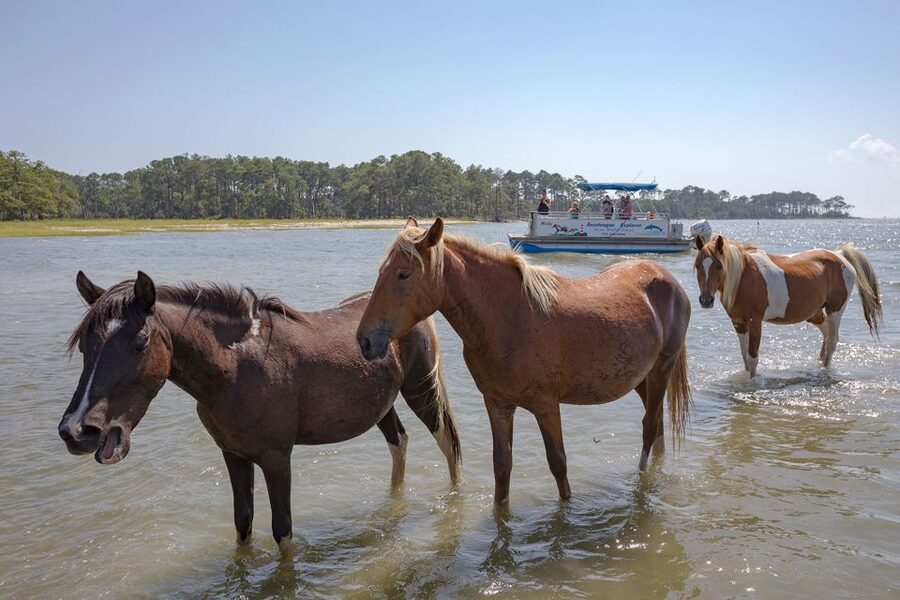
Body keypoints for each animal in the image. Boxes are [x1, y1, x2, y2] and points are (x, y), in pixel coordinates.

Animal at [57, 271, 462, 555]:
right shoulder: (234, 455)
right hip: (381, 405)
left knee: (448, 446)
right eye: (85, 346)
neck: (236, 367)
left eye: (140, 343)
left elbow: (282, 531)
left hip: (419, 392)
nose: (77, 430)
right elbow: (243, 522)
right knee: (399, 442)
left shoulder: (276, 458)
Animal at [356, 217, 692, 505]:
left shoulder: (546, 405)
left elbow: (558, 464)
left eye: (403, 274)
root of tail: (669, 280)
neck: (510, 318)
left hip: (662, 369)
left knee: (649, 427)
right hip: (641, 378)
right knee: (657, 427)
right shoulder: (498, 404)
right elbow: (502, 467)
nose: (364, 341)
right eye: (381, 271)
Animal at [693, 234, 883, 377]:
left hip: (835, 310)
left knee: (832, 342)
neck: (744, 276)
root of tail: (840, 254)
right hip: (814, 313)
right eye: (697, 265)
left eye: (719, 265)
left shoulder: (755, 322)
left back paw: (825, 371)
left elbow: (752, 357)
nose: (706, 300)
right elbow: (744, 356)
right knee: (827, 333)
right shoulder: (738, 322)